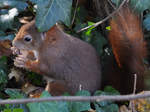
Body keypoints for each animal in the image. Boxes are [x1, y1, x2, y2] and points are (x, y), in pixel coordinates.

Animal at [11, 4, 146, 95]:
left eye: (27, 39)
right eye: (22, 26)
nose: (13, 42)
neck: (47, 44)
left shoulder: (54, 58)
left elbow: (45, 68)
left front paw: (24, 62)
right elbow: (32, 55)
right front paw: (17, 52)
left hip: (60, 87)